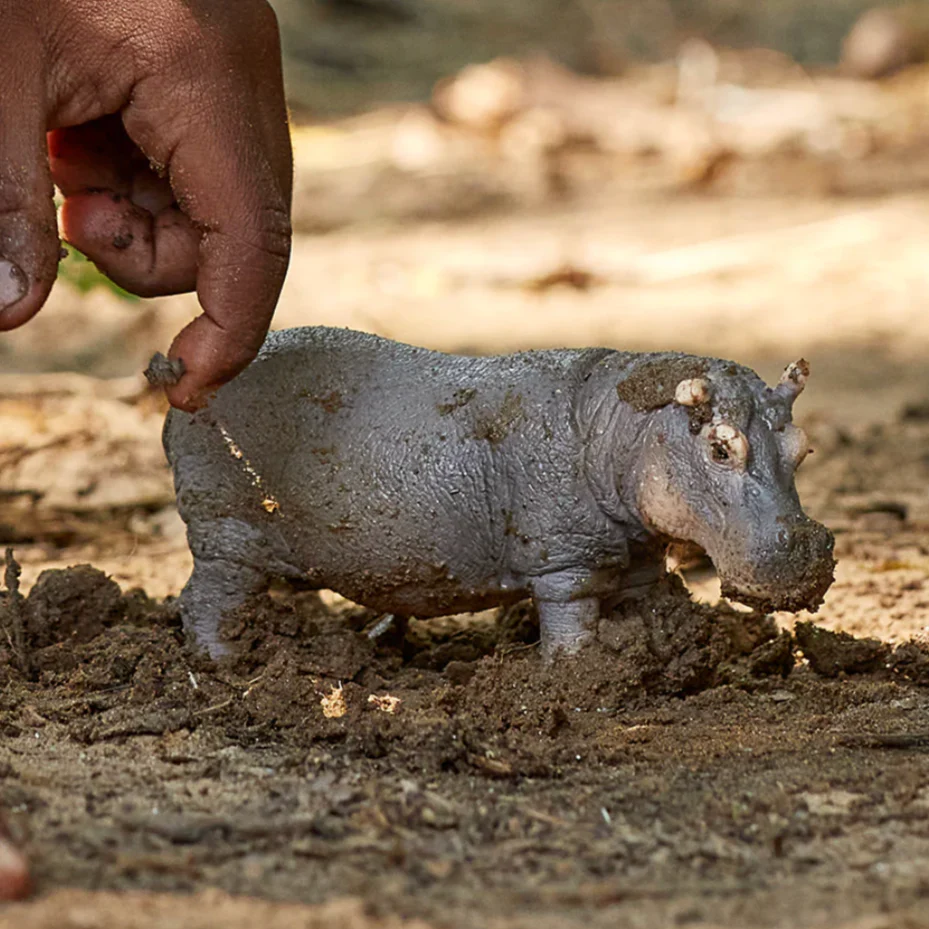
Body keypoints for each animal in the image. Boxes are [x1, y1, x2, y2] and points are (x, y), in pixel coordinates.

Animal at [161, 327, 835, 659]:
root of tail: (177, 386)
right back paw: (224, 664)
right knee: (204, 600)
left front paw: (663, 656)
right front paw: (577, 676)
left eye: (803, 446)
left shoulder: (638, 552)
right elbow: (571, 622)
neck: (624, 421)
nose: (807, 548)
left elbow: (648, 602)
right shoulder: (565, 560)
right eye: (720, 447)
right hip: (227, 532)